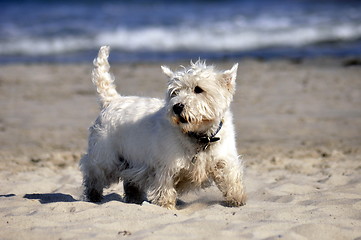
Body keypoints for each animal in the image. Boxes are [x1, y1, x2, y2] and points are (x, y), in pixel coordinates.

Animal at [80, 46, 246, 208]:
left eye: (198, 89)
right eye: (174, 92)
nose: (177, 107)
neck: (199, 136)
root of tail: (112, 100)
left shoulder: (224, 158)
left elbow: (231, 178)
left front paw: (237, 198)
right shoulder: (166, 167)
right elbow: (165, 188)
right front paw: (166, 205)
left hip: (131, 160)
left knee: (131, 182)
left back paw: (134, 199)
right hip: (105, 156)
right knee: (93, 173)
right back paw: (93, 195)